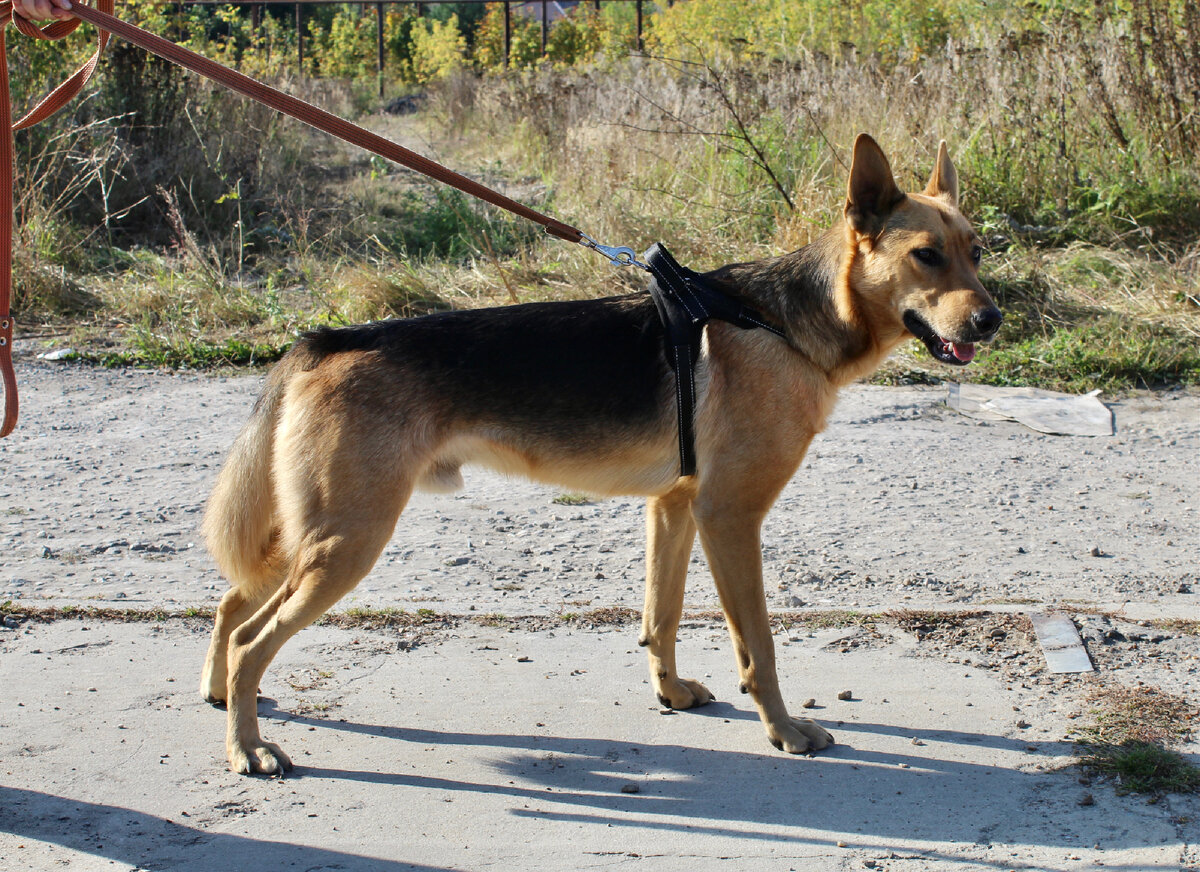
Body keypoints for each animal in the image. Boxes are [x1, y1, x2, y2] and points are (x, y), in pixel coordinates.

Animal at [201, 136, 998, 777]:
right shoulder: (730, 517)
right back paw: (248, 747)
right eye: (926, 255)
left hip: (312, 539)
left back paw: (220, 699)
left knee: (231, 603)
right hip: (348, 542)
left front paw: (670, 693)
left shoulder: (675, 508)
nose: (992, 320)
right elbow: (758, 644)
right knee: (249, 639)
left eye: (977, 253)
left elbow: (661, 616)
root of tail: (329, 338)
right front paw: (782, 730)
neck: (782, 321)